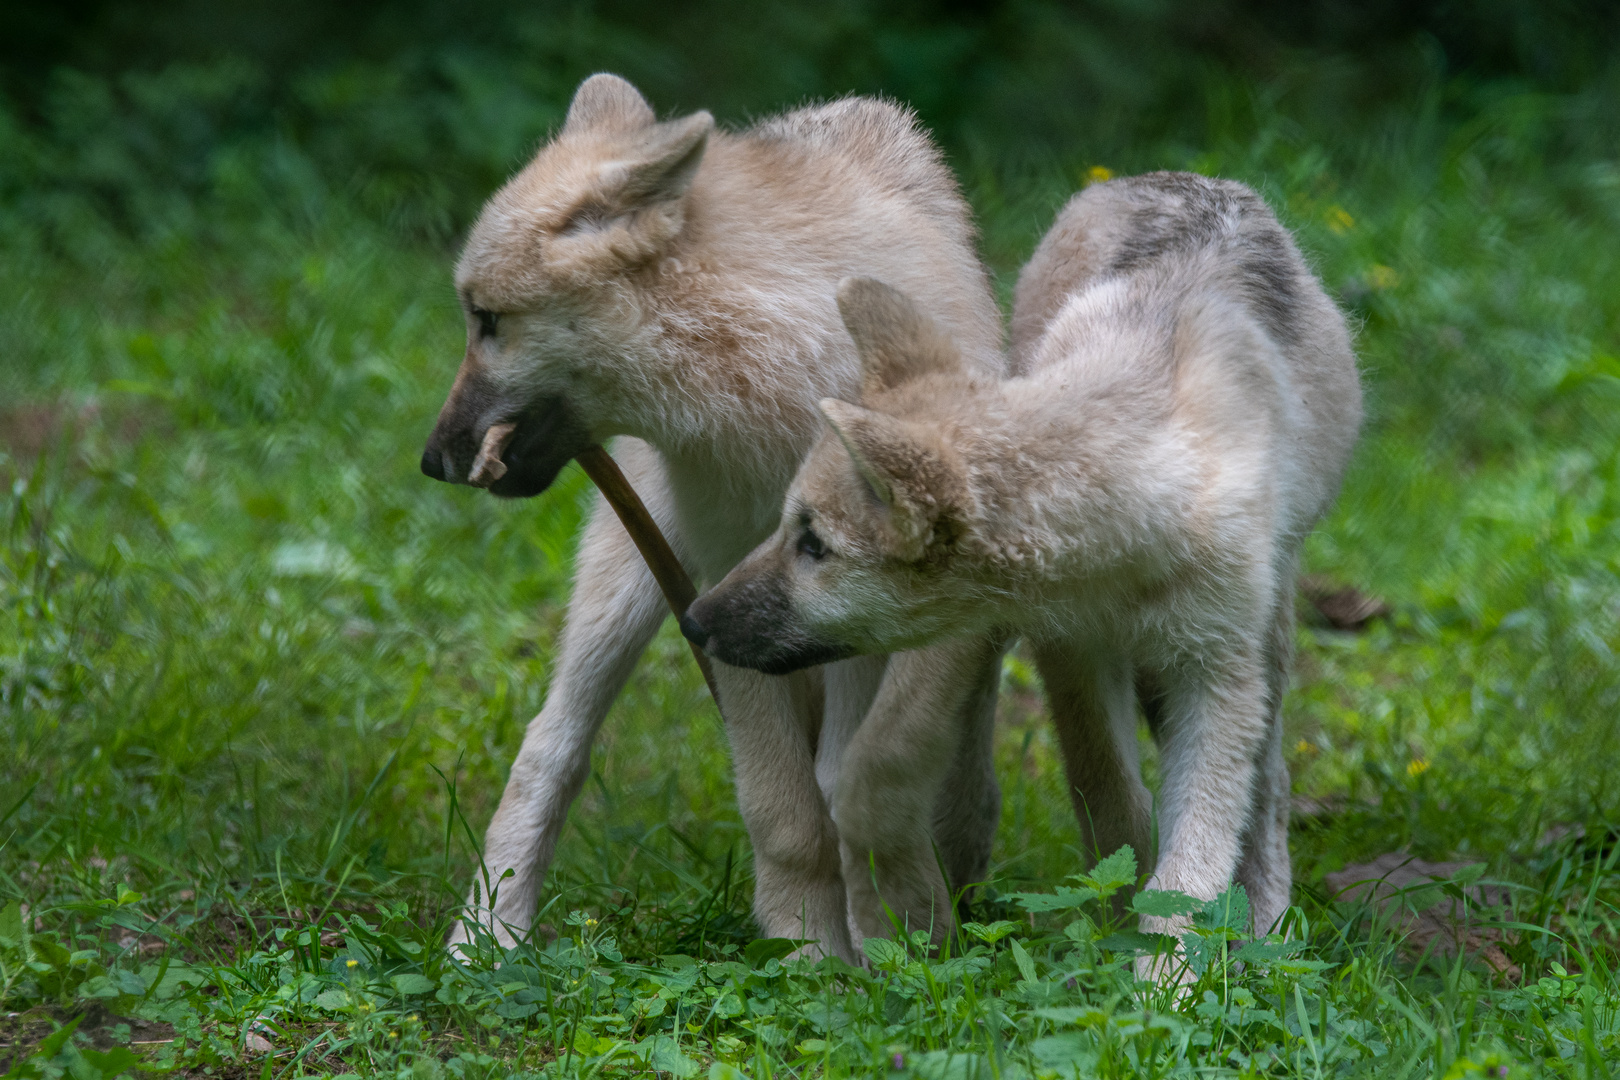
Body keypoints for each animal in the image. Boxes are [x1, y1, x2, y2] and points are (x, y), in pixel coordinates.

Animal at [417, 71, 1004, 958]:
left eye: (487, 320)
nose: (432, 460)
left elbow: (867, 777)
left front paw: (896, 937)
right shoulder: (728, 590)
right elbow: (785, 811)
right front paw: (809, 949)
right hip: (630, 579)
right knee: (552, 743)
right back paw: (487, 938)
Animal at [677, 170, 1360, 945]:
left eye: (814, 545)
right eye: (789, 530)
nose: (693, 620)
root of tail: (1176, 179)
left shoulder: (1217, 674)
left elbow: (1191, 860)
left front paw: (1163, 969)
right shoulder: (1072, 654)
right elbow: (1113, 803)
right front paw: (1116, 930)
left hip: (1268, 639)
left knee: (1269, 784)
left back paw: (1265, 912)